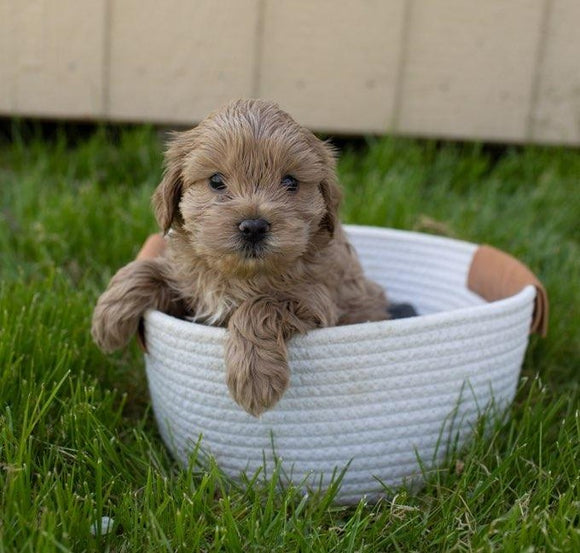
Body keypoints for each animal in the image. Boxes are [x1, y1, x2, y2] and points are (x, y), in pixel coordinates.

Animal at [92, 99, 390, 414]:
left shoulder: (316, 299)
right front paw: (107, 319)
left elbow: (259, 306)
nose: (254, 226)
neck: (241, 275)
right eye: (216, 180)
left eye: (290, 182)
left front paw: (255, 379)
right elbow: (148, 270)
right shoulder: (189, 289)